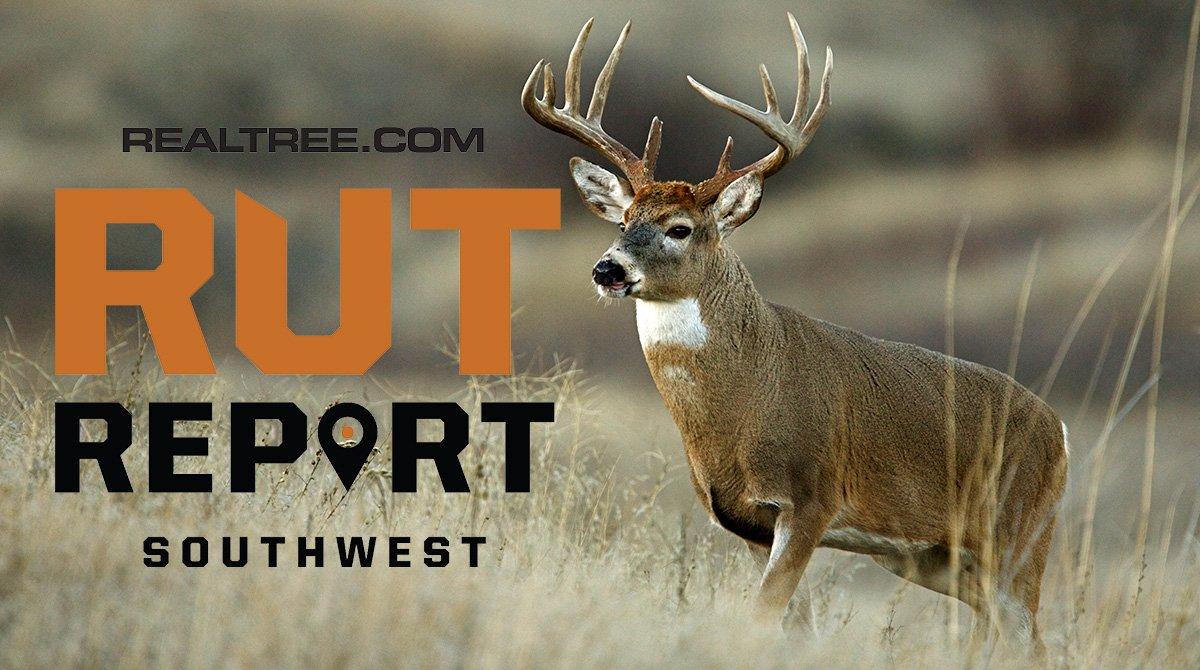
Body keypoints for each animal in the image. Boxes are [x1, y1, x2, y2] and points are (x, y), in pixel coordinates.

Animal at [521, 14, 1068, 650]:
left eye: (679, 228)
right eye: (624, 220)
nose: (607, 269)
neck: (747, 399)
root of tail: (1060, 433)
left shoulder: (812, 497)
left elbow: (762, 612)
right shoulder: (746, 521)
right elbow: (786, 620)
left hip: (1018, 530)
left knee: (1029, 634)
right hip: (936, 556)